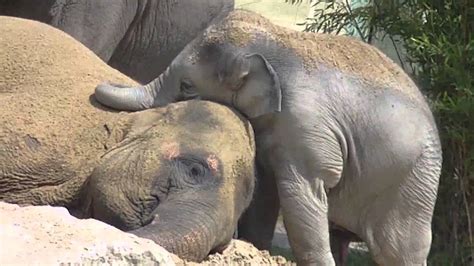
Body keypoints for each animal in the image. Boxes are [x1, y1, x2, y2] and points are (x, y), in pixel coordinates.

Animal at [96, 9, 444, 266]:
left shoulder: (306, 128)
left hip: (413, 183)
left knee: (398, 248)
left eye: (187, 86)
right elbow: (265, 190)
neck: (275, 40)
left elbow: (300, 194)